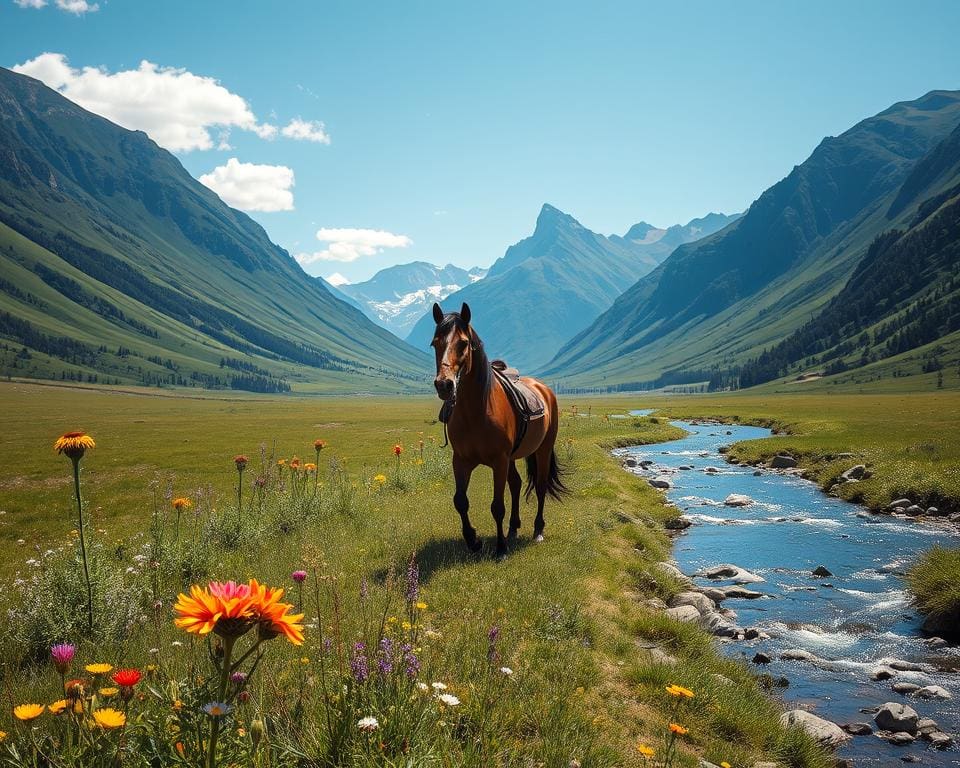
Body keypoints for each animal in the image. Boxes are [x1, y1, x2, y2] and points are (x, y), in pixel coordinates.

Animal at [430, 300, 568, 560]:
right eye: (435, 343)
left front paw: (501, 549)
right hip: (513, 457)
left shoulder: (499, 461)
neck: (476, 412)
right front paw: (473, 541)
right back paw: (513, 528)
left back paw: (537, 530)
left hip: (542, 450)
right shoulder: (461, 460)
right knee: (516, 484)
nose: (444, 385)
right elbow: (460, 501)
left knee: (540, 486)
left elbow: (497, 506)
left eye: (463, 343)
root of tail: (544, 389)